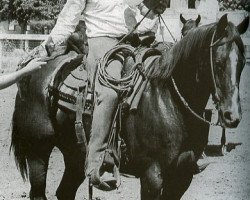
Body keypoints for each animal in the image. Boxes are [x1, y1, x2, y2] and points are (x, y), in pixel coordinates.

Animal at [11, 14, 248, 200]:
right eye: (218, 63)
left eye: (243, 63)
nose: (232, 116)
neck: (167, 100)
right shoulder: (152, 175)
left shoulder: (182, 176)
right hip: (38, 150)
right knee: (39, 192)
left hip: (75, 155)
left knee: (65, 192)